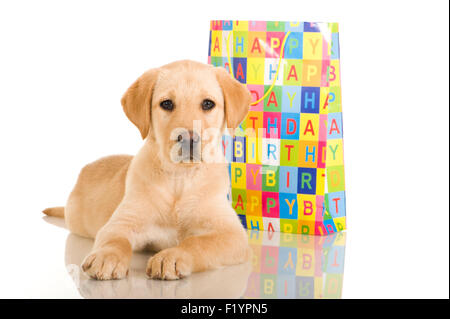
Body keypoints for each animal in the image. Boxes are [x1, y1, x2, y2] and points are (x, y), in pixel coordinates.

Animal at [44, 60, 251, 280]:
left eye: (208, 104)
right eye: (166, 104)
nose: (188, 139)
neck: (179, 178)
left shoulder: (233, 234)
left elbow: (197, 242)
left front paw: (172, 256)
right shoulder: (120, 222)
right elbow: (115, 239)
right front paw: (107, 256)